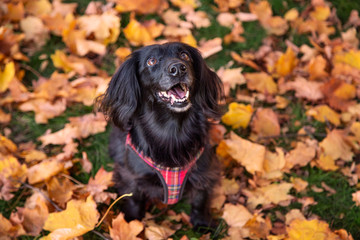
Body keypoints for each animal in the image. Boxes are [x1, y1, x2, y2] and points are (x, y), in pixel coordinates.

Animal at [97, 42, 222, 230]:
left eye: (184, 55)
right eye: (151, 61)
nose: (178, 68)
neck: (172, 129)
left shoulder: (204, 172)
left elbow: (200, 199)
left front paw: (202, 223)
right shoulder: (132, 177)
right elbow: (133, 200)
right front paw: (130, 224)